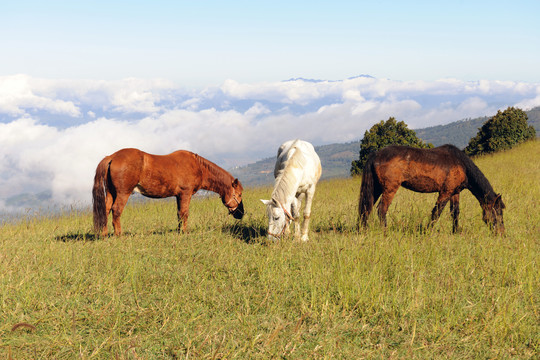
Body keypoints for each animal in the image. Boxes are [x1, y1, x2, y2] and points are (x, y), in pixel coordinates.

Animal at [93, 147, 245, 236]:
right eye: (239, 194)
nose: (241, 214)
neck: (198, 166)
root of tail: (112, 156)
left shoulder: (178, 196)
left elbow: (179, 214)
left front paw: (179, 231)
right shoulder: (186, 193)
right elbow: (185, 213)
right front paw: (184, 232)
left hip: (111, 192)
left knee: (106, 209)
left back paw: (104, 234)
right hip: (123, 193)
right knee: (116, 210)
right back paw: (119, 234)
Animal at [358, 145, 506, 235]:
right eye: (497, 212)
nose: (502, 234)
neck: (461, 165)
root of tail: (376, 154)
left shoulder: (455, 193)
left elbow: (455, 213)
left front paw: (455, 232)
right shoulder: (445, 192)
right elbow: (436, 213)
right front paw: (427, 232)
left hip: (376, 188)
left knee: (366, 209)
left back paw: (363, 231)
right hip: (389, 189)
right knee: (381, 210)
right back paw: (385, 233)